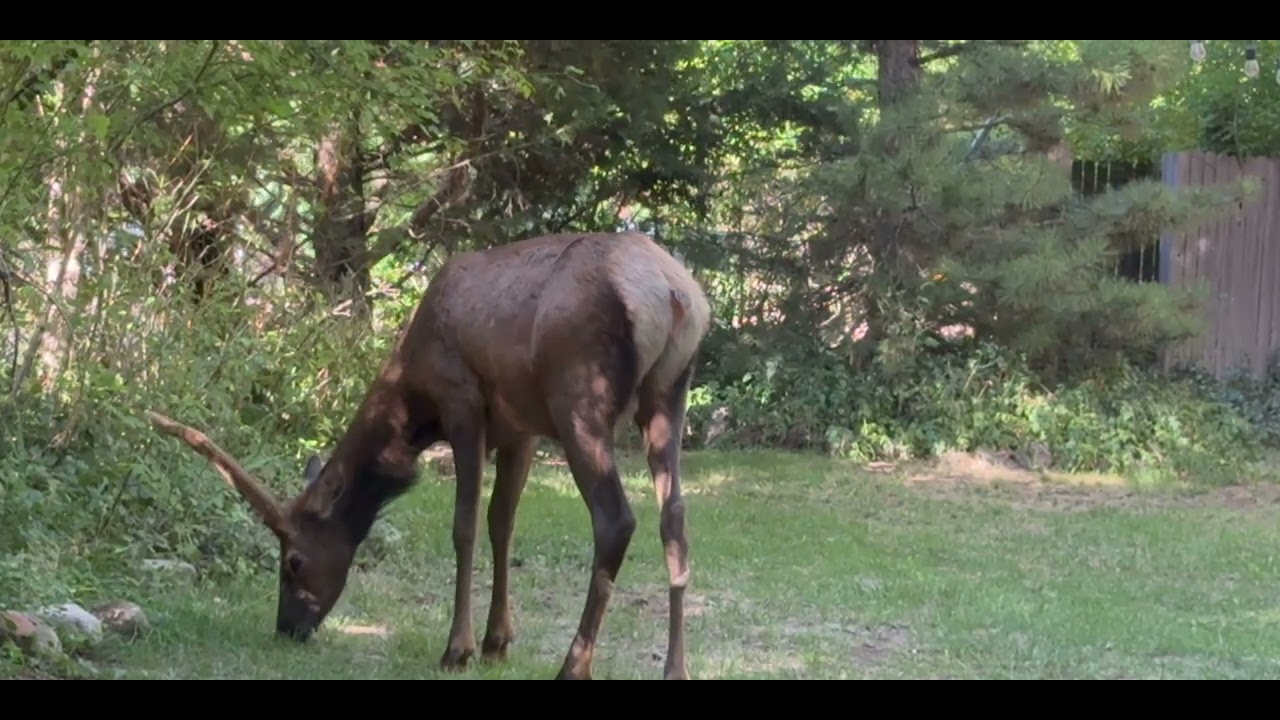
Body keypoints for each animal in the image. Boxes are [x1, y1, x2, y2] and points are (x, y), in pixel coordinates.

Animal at [146, 230, 712, 681]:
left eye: (294, 560)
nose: (288, 628)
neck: (412, 403)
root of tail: (674, 295)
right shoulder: (522, 430)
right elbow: (502, 522)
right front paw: (497, 642)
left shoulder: (462, 403)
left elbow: (464, 525)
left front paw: (458, 648)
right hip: (669, 395)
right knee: (675, 520)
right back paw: (676, 667)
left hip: (580, 398)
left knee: (615, 520)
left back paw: (574, 665)